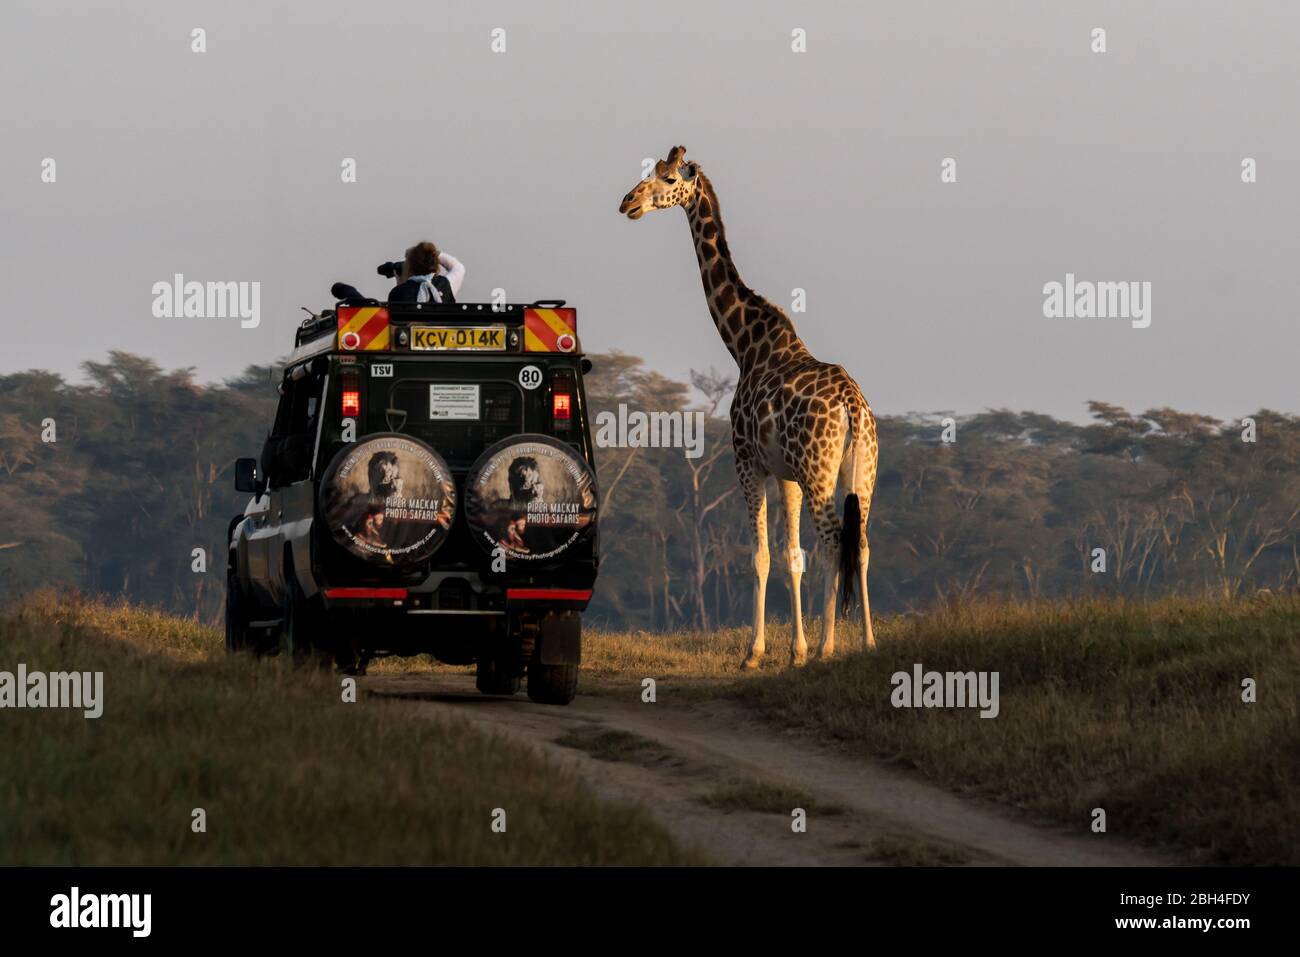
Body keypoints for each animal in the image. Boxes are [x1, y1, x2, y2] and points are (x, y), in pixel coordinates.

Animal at [618, 145, 883, 665]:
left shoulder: (746, 462)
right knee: (859, 544)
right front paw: (795, 650)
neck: (744, 343)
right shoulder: (787, 474)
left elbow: (760, 556)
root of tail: (852, 406)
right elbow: (791, 557)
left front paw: (756, 652)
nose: (627, 203)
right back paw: (866, 642)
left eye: (666, 178)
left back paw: (829, 647)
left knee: (832, 540)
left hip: (820, 471)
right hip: (860, 472)